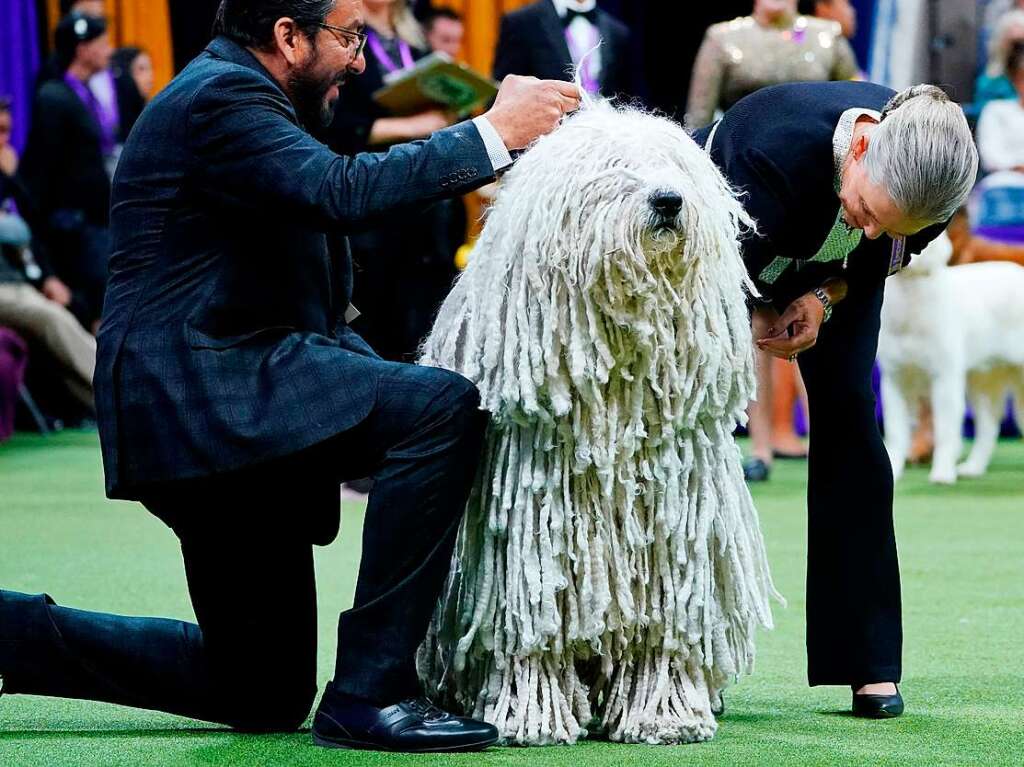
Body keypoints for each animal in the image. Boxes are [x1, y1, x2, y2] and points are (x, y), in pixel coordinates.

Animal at [415, 100, 774, 741]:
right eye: (613, 168)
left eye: (675, 166)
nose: (668, 200)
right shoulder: (528, 542)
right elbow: (530, 630)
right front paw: (531, 717)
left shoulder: (671, 535)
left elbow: (664, 630)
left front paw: (665, 715)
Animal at [880, 233, 1024, 485]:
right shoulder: (894, 381)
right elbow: (896, 432)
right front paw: (894, 471)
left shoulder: (944, 379)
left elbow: (945, 431)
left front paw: (942, 473)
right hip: (983, 380)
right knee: (988, 427)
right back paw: (973, 467)